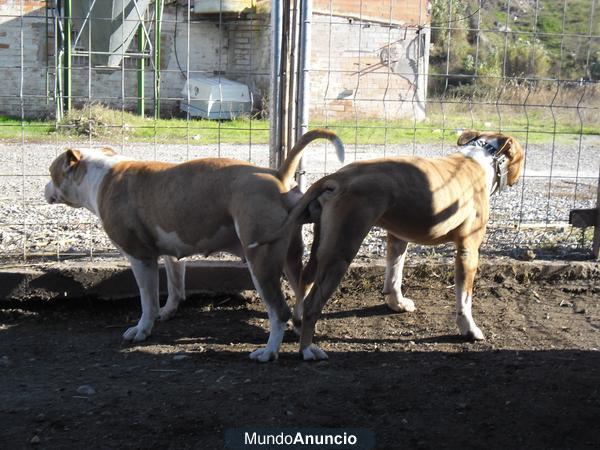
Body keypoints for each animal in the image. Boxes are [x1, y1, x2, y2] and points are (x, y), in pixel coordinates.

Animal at [44, 129, 344, 362]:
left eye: (51, 171)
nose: (44, 188)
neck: (100, 174)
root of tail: (276, 174)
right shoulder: (172, 254)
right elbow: (175, 286)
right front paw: (167, 312)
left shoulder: (140, 257)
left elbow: (147, 299)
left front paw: (142, 329)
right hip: (291, 259)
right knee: (304, 300)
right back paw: (305, 340)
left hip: (260, 262)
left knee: (278, 310)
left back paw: (269, 351)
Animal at [252, 129, 524, 358]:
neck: (480, 157)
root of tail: (337, 178)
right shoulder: (468, 250)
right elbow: (464, 297)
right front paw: (469, 328)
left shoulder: (398, 239)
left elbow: (394, 273)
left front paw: (396, 302)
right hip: (341, 252)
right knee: (312, 304)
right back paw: (308, 349)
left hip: (324, 245)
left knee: (305, 279)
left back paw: (298, 324)